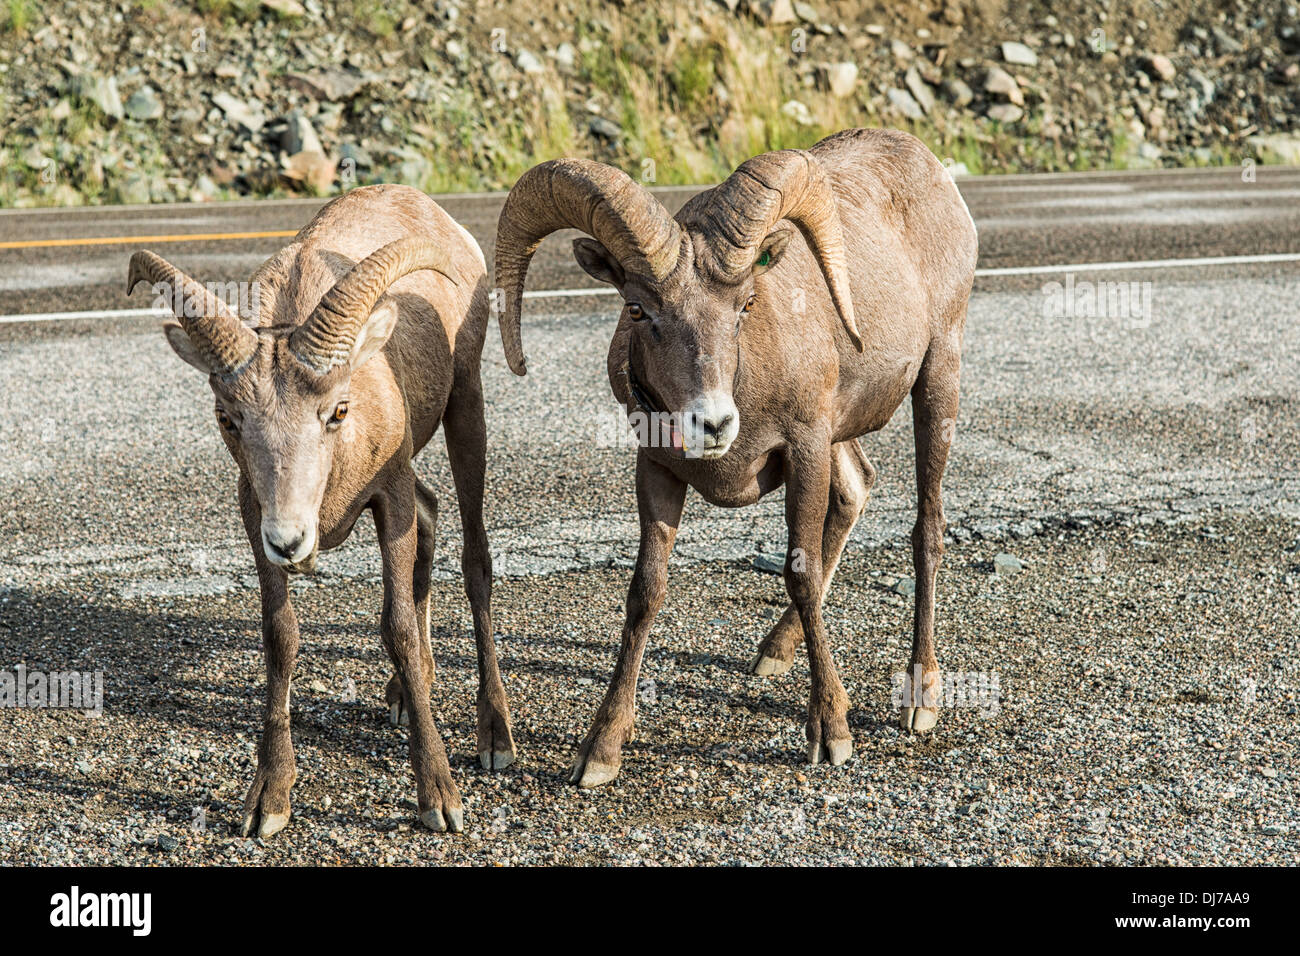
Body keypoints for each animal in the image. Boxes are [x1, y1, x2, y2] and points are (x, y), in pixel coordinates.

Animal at [127, 184, 516, 836]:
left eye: (337, 410)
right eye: (228, 418)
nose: (291, 541)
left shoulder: (389, 497)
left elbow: (396, 627)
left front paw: (439, 799)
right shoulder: (253, 514)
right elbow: (280, 637)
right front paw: (268, 801)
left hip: (466, 406)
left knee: (475, 559)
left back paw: (495, 737)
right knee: (433, 515)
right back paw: (402, 694)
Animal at [493, 128, 978, 786]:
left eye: (745, 304)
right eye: (639, 309)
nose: (714, 423)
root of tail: (930, 165)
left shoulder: (804, 449)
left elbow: (799, 573)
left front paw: (831, 732)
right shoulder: (657, 470)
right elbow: (645, 593)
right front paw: (601, 749)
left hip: (937, 377)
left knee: (926, 526)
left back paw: (921, 697)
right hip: (844, 430)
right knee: (857, 489)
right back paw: (774, 651)